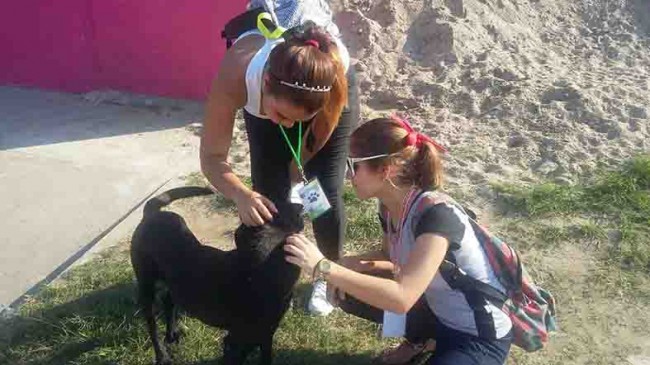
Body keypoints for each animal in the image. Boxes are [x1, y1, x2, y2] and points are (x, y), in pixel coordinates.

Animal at [132, 186, 306, 362]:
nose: (300, 206)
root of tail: (151, 214)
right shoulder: (236, 340)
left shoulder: (265, 335)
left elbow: (266, 356)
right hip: (146, 287)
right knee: (152, 325)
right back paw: (162, 355)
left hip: (173, 285)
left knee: (168, 301)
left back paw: (171, 334)